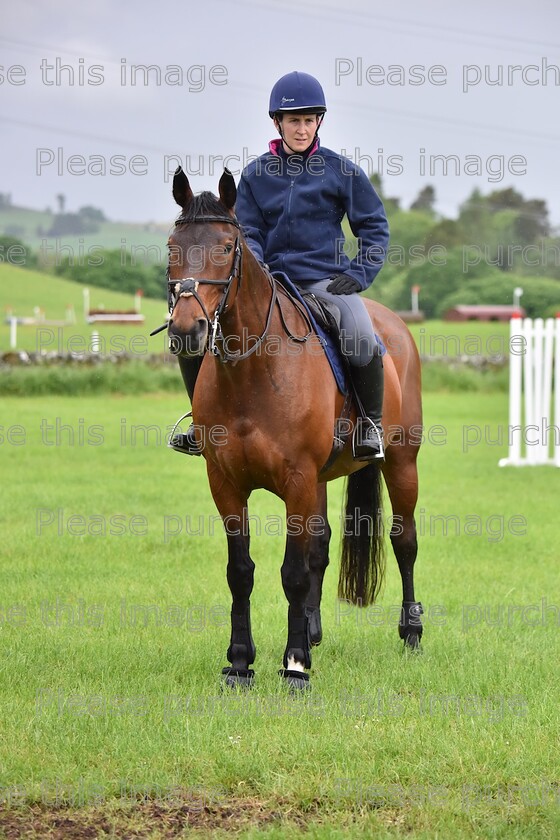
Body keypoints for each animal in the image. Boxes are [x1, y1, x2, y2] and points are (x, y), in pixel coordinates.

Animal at [164, 166, 422, 688]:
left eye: (227, 246)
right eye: (171, 246)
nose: (186, 331)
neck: (252, 371)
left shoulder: (297, 479)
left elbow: (294, 573)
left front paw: (295, 665)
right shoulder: (226, 484)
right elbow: (241, 571)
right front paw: (240, 662)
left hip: (401, 462)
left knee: (404, 542)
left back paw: (410, 632)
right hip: (321, 480)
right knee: (320, 548)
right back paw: (313, 629)